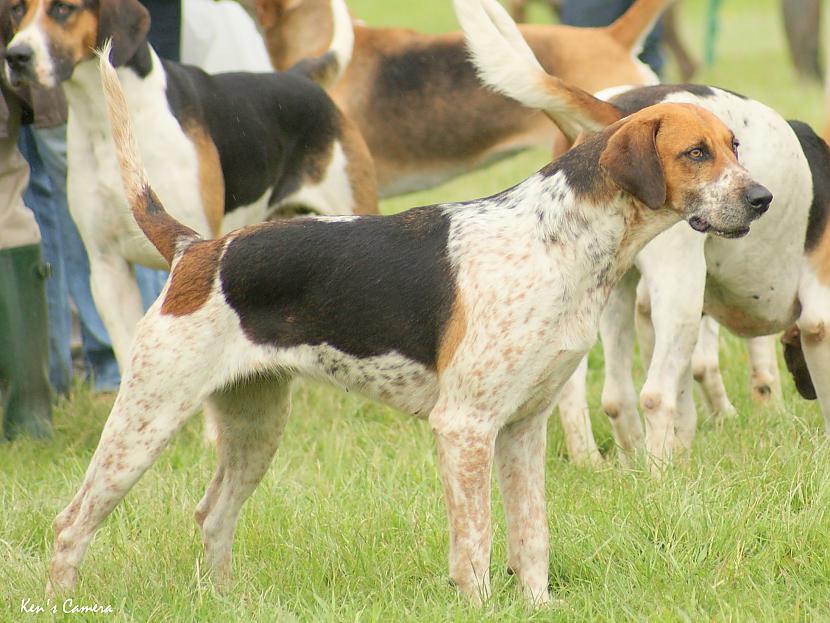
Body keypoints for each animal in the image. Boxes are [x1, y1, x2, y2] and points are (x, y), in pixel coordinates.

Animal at [1, 0, 378, 368]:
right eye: (17, 9)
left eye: (64, 9)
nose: (16, 56)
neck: (102, 119)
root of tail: (297, 77)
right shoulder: (107, 267)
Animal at [47, 42, 772, 604]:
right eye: (696, 152)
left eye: (736, 145)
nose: (763, 198)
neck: (559, 238)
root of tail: (197, 248)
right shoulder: (466, 428)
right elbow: (476, 546)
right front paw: (480, 605)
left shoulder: (523, 429)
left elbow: (531, 538)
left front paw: (537, 604)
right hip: (144, 423)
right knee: (69, 524)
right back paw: (63, 598)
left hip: (256, 425)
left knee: (212, 515)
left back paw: (224, 601)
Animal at [456, 0, 830, 468]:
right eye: (697, 153)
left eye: (736, 147)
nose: (763, 198)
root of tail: (620, 114)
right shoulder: (816, 319)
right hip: (679, 295)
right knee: (654, 394)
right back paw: (659, 474)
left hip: (610, 297)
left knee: (609, 396)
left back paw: (610, 460)